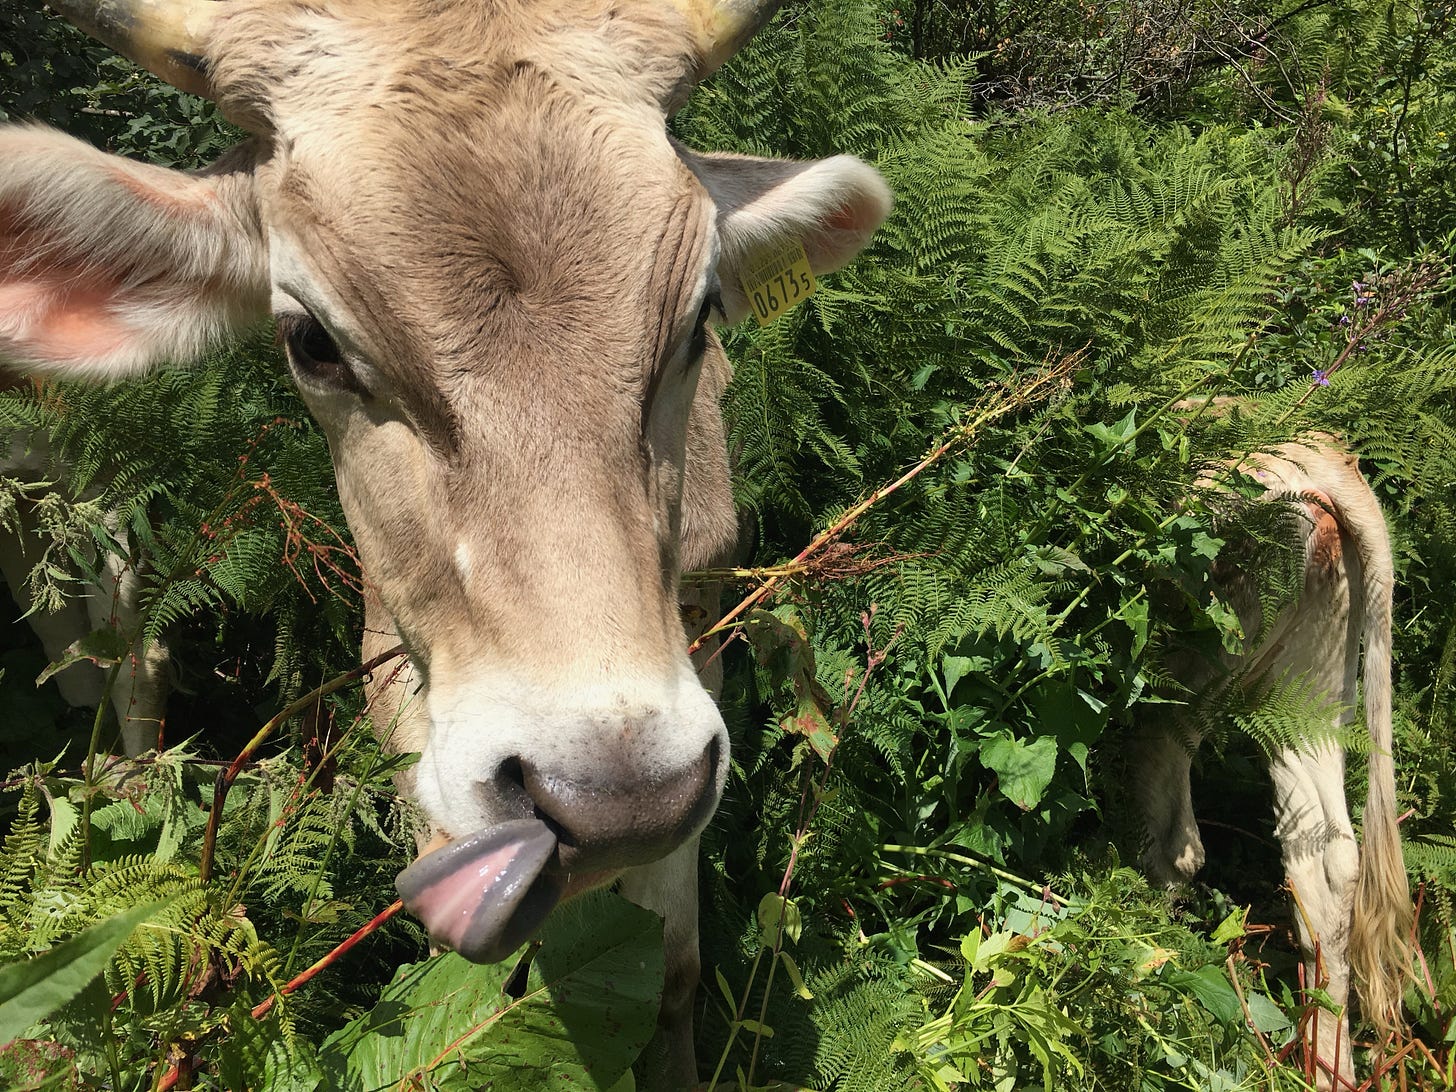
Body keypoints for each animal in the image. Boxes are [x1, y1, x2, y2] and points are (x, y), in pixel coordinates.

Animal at [0, 0, 892, 1084]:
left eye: (700, 312)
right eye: (311, 339)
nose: (612, 795)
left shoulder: (695, 658)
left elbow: (675, 964)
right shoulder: (397, 670)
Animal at [1133, 437, 1412, 1090]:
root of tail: (1326, 462)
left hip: (1209, 639)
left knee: (1175, 812)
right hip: (1308, 691)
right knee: (1330, 860)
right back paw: (1327, 1063)